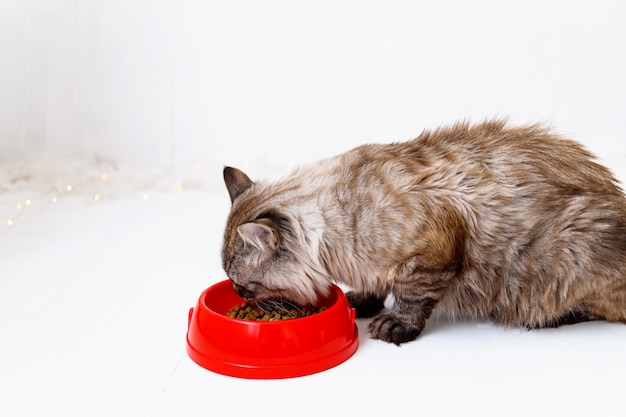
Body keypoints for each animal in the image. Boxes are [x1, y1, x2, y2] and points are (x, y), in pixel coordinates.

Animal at [219, 118, 624, 342]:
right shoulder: (375, 262)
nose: (239, 295)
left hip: (567, 246)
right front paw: (361, 301)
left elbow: (411, 297)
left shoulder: (432, 251)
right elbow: (374, 285)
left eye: (243, 284)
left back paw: (553, 318)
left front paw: (395, 324)